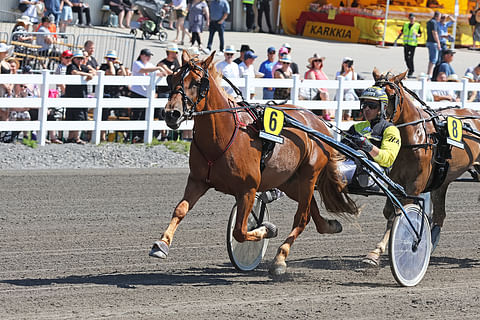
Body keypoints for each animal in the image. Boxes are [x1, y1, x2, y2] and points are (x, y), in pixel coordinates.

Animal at [148, 50, 358, 276]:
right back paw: (329, 226)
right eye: (172, 78)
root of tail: (318, 122)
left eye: (196, 82)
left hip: (309, 176)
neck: (223, 134)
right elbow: (180, 209)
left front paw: (267, 229)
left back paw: (280, 259)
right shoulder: (197, 181)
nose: (171, 113)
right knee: (311, 210)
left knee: (301, 218)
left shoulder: (248, 189)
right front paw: (161, 244)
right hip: (290, 181)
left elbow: (240, 231)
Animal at [364, 69, 480, 264]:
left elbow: (400, 213)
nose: (377, 124)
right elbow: (390, 211)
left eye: (392, 95)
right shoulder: (395, 180)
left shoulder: (415, 184)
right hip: (442, 180)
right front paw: (376, 252)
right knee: (440, 215)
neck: (413, 137)